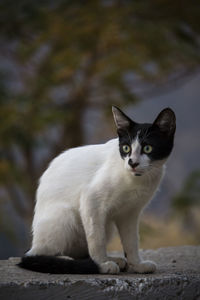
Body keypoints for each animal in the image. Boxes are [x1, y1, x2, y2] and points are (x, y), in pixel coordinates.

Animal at [18, 105, 175, 274]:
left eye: (148, 148)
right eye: (126, 148)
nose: (132, 162)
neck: (135, 179)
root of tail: (33, 244)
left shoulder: (129, 213)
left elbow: (132, 242)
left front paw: (137, 265)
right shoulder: (91, 201)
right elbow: (96, 239)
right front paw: (101, 265)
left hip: (108, 225)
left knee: (80, 252)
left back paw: (114, 260)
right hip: (66, 215)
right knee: (43, 252)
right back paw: (70, 261)